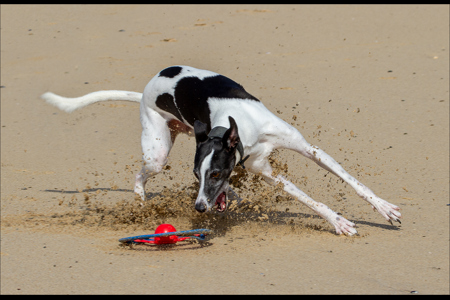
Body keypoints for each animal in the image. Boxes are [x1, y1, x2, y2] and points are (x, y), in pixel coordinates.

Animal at [41, 65, 400, 234]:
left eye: (215, 173)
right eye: (196, 175)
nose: (199, 208)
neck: (241, 129)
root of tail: (146, 90)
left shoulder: (308, 148)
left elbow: (352, 181)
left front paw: (385, 209)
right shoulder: (267, 174)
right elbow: (310, 199)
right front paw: (338, 222)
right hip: (157, 154)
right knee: (140, 174)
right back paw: (142, 201)